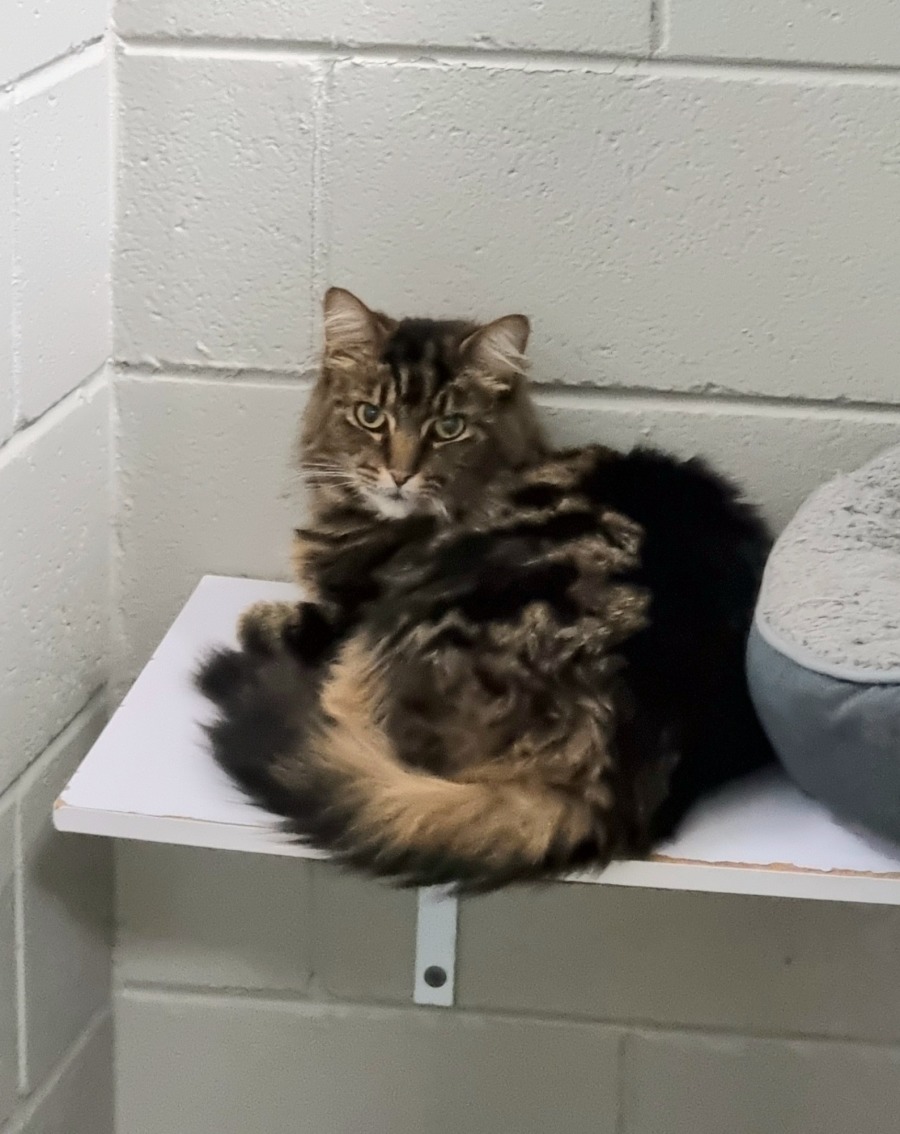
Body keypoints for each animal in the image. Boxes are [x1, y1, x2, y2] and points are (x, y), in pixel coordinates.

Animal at [196, 288, 774, 892]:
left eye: (449, 427)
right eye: (371, 416)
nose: (399, 475)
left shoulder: (346, 615)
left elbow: (292, 619)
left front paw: (261, 618)